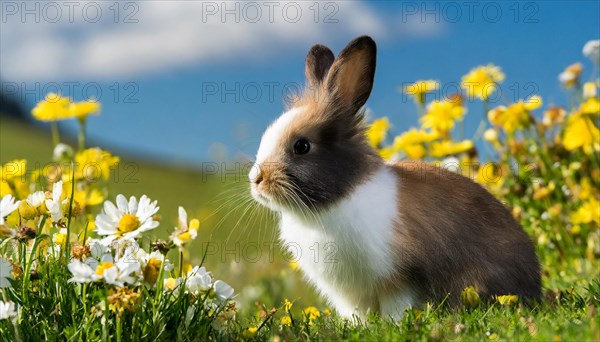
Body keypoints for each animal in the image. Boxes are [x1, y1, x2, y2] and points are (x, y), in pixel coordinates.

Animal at [246, 36, 540, 320]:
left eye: (302, 146)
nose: (256, 179)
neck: (339, 198)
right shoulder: (348, 296)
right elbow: (357, 314)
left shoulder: (398, 280)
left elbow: (396, 307)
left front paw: (393, 324)